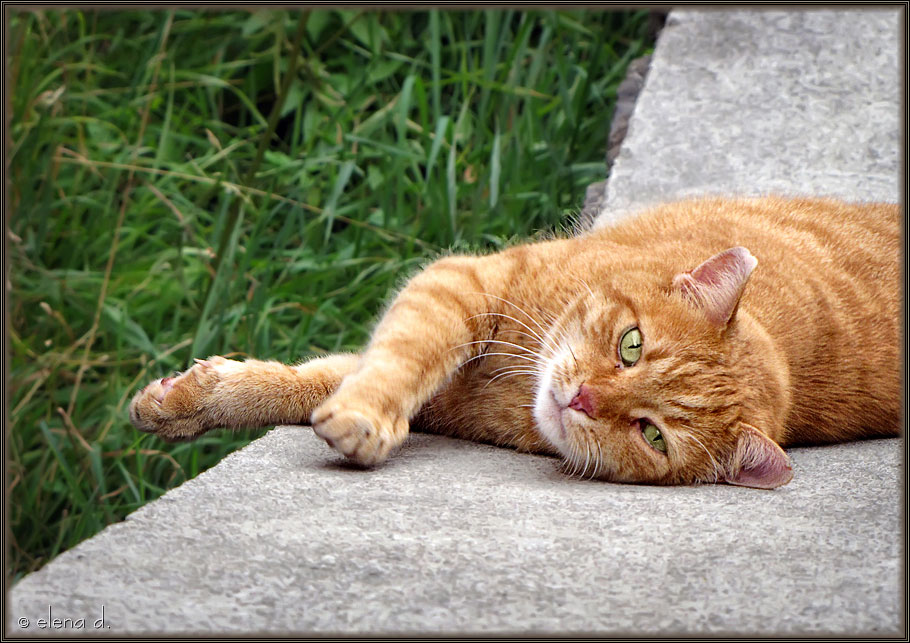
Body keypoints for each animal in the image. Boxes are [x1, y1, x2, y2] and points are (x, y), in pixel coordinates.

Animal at [130, 196, 904, 488]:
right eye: (631, 346)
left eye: (653, 434)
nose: (583, 396)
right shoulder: (461, 285)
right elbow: (379, 363)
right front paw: (189, 401)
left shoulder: (450, 393)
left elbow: (327, 381)